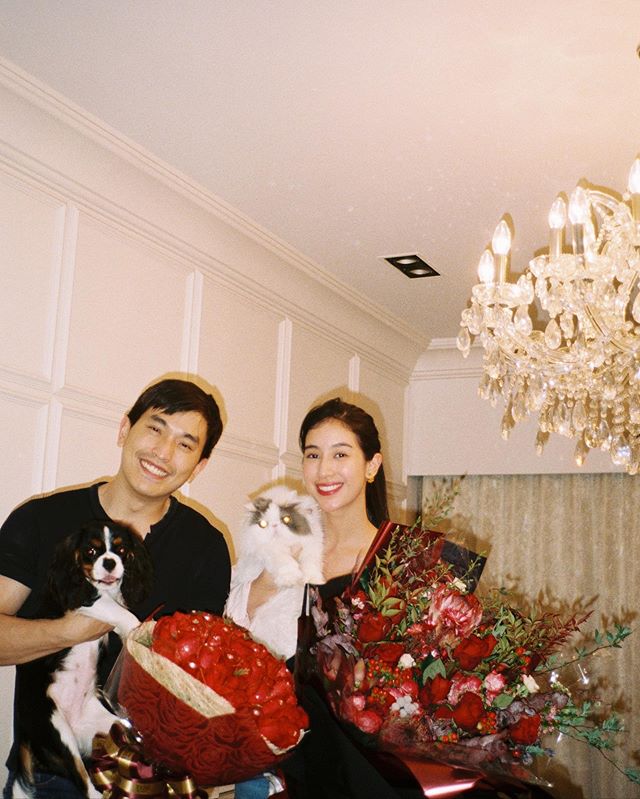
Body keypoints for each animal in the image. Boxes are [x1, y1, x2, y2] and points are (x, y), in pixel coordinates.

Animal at [13, 520, 152, 799]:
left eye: (121, 551)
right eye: (90, 551)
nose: (109, 562)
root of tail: (25, 734)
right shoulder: (82, 600)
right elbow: (117, 611)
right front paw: (139, 630)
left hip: (108, 725)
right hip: (57, 729)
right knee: (83, 780)